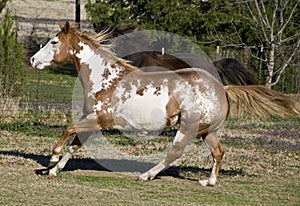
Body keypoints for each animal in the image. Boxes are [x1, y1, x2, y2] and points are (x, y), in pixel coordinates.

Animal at [29, 22, 298, 187]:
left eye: (54, 42)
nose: (32, 60)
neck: (106, 78)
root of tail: (223, 88)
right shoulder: (93, 120)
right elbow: (76, 143)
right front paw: (54, 170)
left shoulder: (101, 119)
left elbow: (68, 130)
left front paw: (52, 159)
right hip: (207, 131)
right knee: (218, 152)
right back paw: (208, 181)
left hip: (186, 128)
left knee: (175, 154)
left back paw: (145, 175)